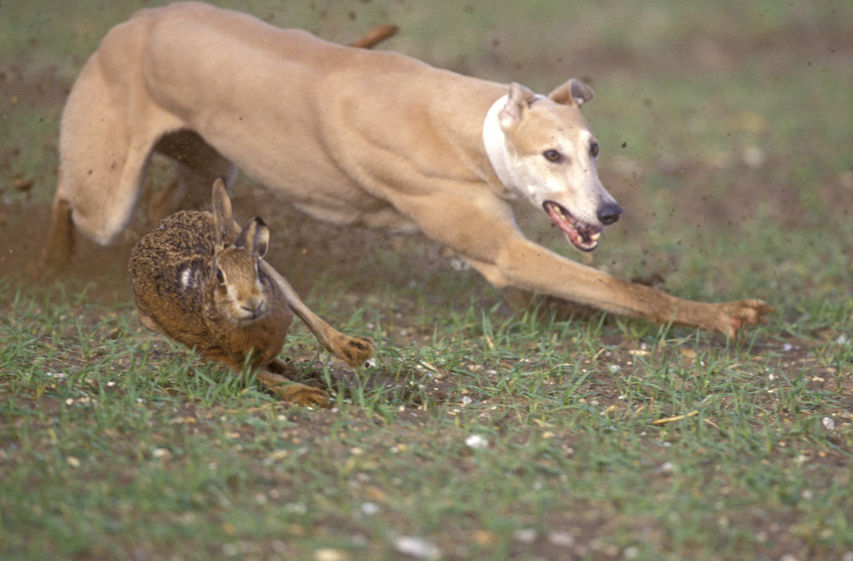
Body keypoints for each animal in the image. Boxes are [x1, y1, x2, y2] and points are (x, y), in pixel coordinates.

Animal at [46, 2, 772, 334]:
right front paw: (723, 314)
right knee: (73, 198)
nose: (611, 212)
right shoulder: (503, 251)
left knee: (175, 204)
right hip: (104, 189)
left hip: (206, 156)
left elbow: (575, 291)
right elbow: (622, 288)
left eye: (593, 148)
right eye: (552, 154)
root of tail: (134, 23)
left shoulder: (507, 251)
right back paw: (55, 258)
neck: (472, 128)